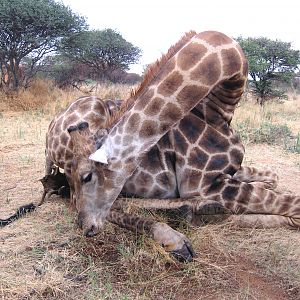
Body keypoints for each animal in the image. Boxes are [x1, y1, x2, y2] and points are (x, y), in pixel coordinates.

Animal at [65, 31, 298, 260]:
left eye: (87, 177)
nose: (85, 228)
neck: (218, 111)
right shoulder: (206, 185)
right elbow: (294, 208)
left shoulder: (231, 171)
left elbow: (274, 178)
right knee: (98, 201)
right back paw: (182, 228)